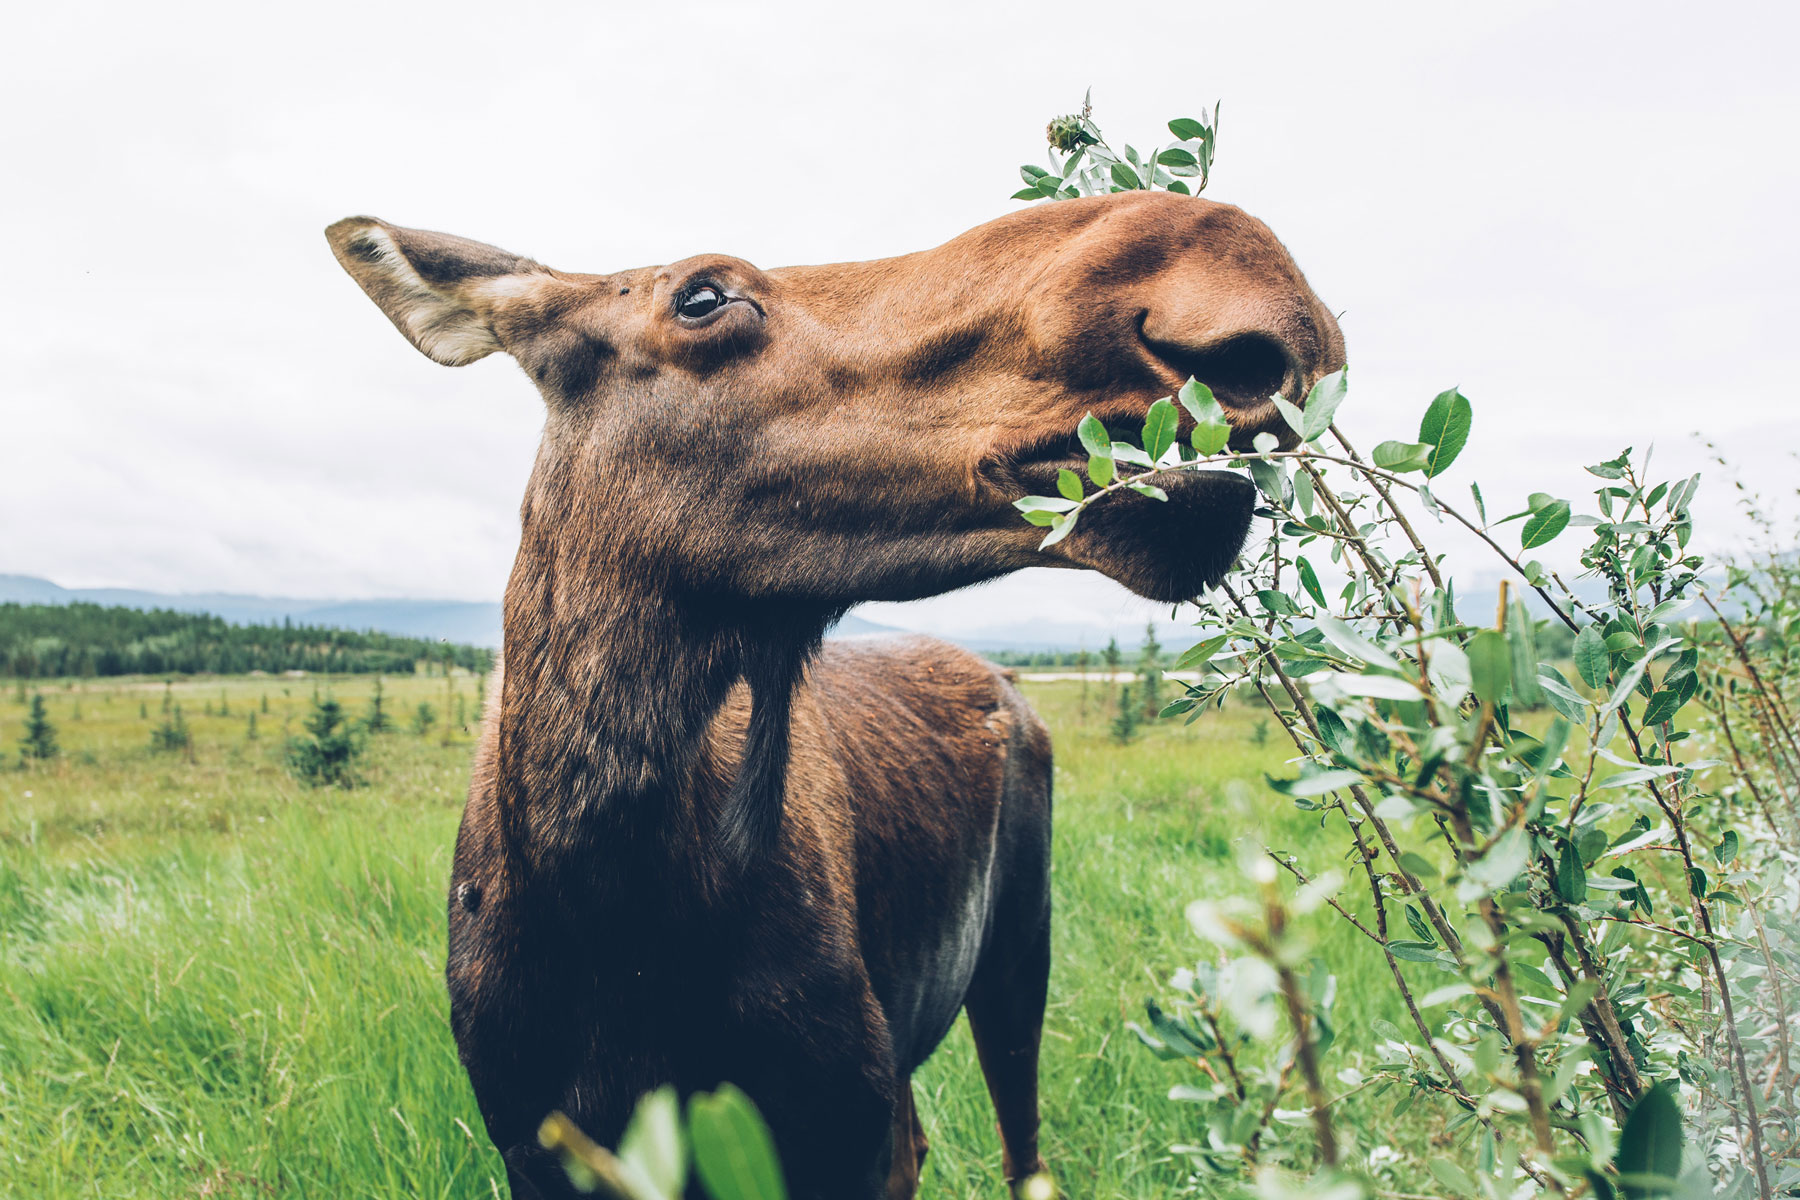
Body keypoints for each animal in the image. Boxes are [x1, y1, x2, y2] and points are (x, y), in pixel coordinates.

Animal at [324, 192, 1346, 1194]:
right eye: (702, 297)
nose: (1239, 280)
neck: (609, 908)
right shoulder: (536, 1145)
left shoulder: (844, 1123)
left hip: (1019, 948)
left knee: (1025, 1154)